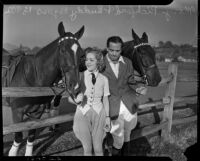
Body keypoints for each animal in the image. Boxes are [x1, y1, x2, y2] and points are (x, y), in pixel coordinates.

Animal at [3, 21, 85, 156]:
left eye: (81, 54)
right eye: (62, 50)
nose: (75, 86)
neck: (33, 76)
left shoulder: (36, 113)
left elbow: (31, 136)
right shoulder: (17, 112)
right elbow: (18, 137)